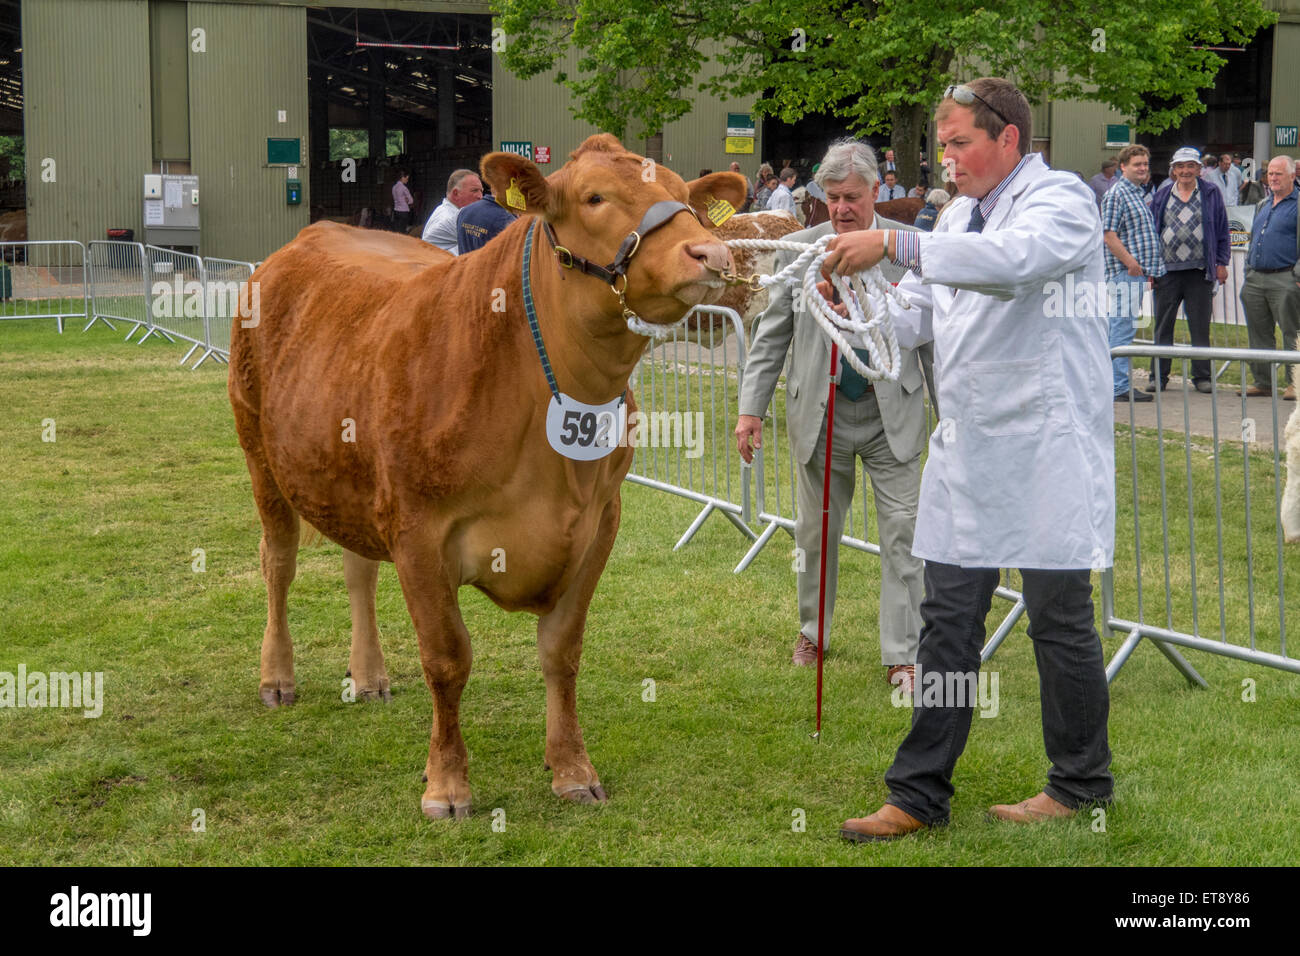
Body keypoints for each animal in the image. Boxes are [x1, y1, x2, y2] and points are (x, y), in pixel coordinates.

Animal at [230, 134, 748, 816]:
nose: (711, 252)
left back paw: (369, 676)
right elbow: (448, 659)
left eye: (685, 195)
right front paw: (447, 786)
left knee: (357, 569)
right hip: (260, 452)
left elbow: (562, 653)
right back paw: (277, 678)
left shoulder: (600, 523)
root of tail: (310, 236)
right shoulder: (419, 531)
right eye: (594, 198)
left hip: (349, 472)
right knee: (279, 561)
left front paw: (572, 769)